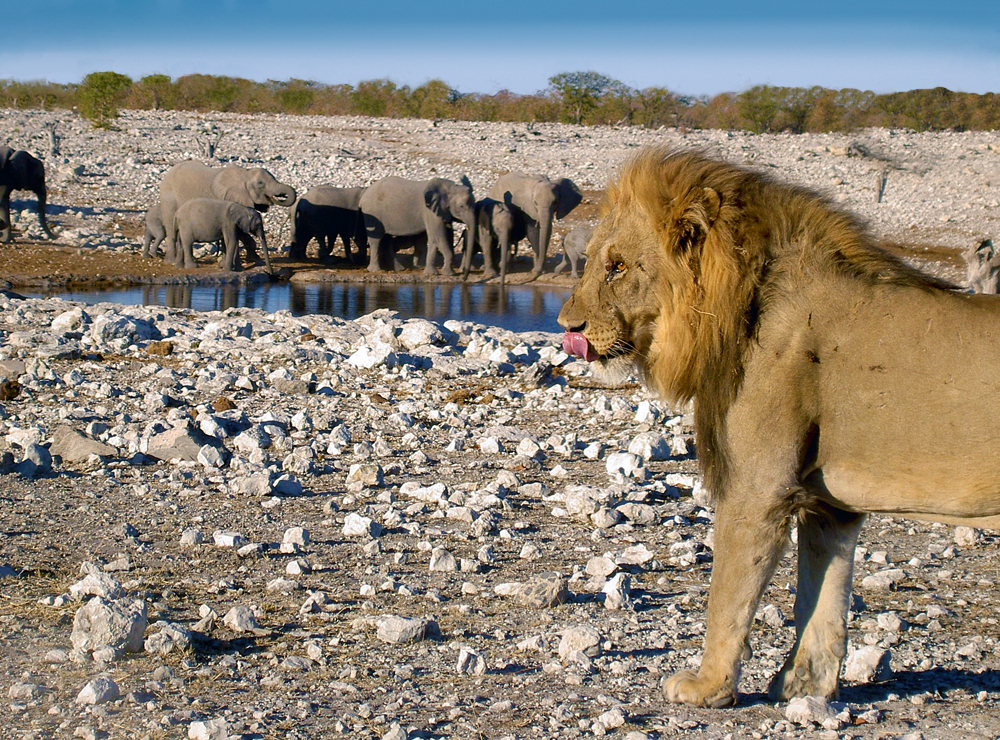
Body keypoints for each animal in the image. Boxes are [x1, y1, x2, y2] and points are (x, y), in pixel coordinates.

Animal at [558, 148, 1000, 708]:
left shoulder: (758, 488)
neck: (738, 306)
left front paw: (708, 687)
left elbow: (728, 595)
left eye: (617, 266)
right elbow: (822, 600)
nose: (566, 326)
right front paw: (803, 687)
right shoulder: (830, 506)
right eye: (595, 259)